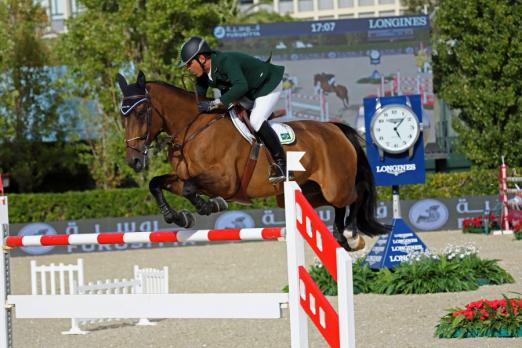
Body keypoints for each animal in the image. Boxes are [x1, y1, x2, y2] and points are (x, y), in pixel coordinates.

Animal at [116, 71, 388, 250]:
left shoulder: (226, 181)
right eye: (122, 116)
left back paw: (352, 234)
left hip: (335, 185)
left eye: (140, 112)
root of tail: (335, 128)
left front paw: (209, 206)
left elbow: (191, 188)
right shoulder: (182, 176)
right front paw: (180, 217)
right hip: (309, 192)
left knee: (355, 195)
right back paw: (341, 236)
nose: (133, 161)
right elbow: (156, 183)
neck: (192, 128)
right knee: (338, 204)